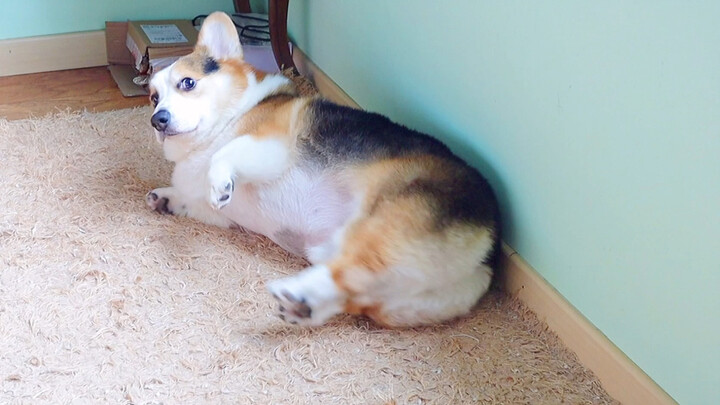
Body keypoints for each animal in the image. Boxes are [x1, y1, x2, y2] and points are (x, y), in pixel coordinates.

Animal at [146, 11, 500, 328]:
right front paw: (165, 198)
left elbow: (224, 155)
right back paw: (304, 306)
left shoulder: (271, 147)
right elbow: (192, 200)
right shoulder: (220, 214)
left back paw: (295, 291)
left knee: (349, 269)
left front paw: (219, 182)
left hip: (388, 227)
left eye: (187, 83)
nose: (157, 120)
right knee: (353, 290)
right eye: (153, 98)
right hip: (392, 296)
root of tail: (488, 247)